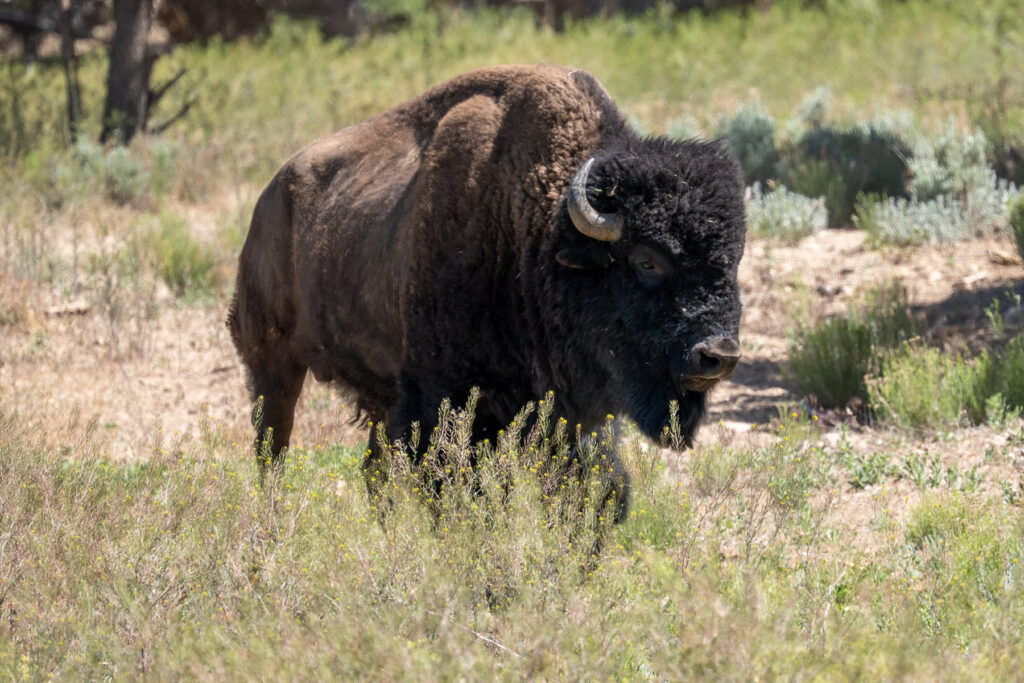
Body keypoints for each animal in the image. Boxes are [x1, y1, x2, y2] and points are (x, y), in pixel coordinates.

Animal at [228, 64, 745, 515]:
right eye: (646, 260)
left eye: (734, 259)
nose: (718, 355)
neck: (536, 234)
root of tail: (271, 196)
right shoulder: (444, 401)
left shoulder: (574, 416)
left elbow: (597, 489)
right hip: (273, 363)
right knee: (272, 449)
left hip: (375, 392)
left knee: (374, 473)